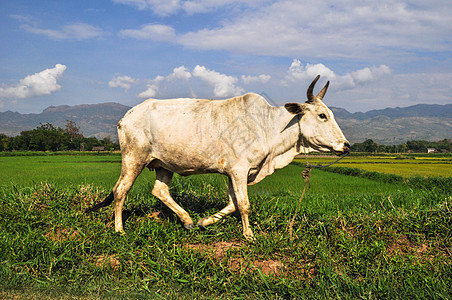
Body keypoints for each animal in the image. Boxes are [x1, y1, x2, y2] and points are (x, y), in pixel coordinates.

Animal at [88, 75, 350, 239]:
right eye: (322, 115)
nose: (346, 146)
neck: (268, 126)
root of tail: (127, 116)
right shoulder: (239, 170)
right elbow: (243, 205)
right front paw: (249, 235)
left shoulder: (232, 173)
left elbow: (233, 204)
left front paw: (204, 222)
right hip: (133, 159)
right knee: (121, 190)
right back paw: (119, 230)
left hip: (164, 165)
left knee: (159, 191)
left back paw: (188, 220)